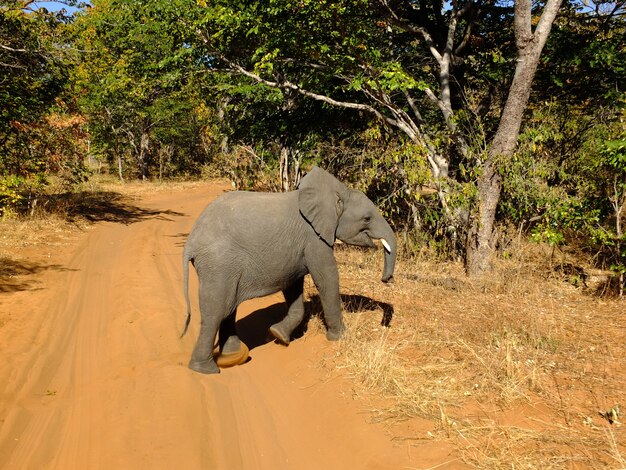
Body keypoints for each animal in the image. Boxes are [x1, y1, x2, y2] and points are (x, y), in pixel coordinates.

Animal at [180, 167, 394, 372]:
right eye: (367, 218)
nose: (386, 279)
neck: (335, 193)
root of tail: (191, 241)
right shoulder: (314, 239)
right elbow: (327, 279)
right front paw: (339, 337)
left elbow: (293, 286)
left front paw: (278, 336)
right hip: (218, 264)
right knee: (216, 311)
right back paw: (206, 369)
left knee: (228, 308)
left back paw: (233, 358)